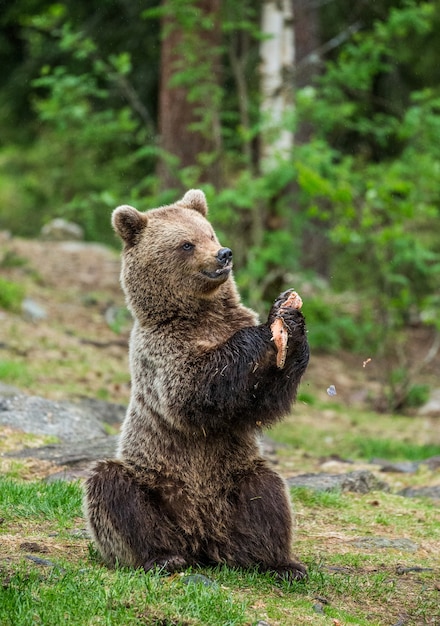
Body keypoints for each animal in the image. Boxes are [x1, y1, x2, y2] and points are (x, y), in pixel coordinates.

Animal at [83, 189, 310, 580]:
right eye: (186, 244)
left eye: (211, 233)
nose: (224, 254)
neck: (199, 315)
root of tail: (201, 538)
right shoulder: (160, 352)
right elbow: (193, 389)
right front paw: (264, 331)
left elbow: (263, 399)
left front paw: (290, 320)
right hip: (158, 485)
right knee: (115, 492)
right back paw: (162, 558)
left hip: (234, 478)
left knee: (266, 496)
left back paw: (277, 562)